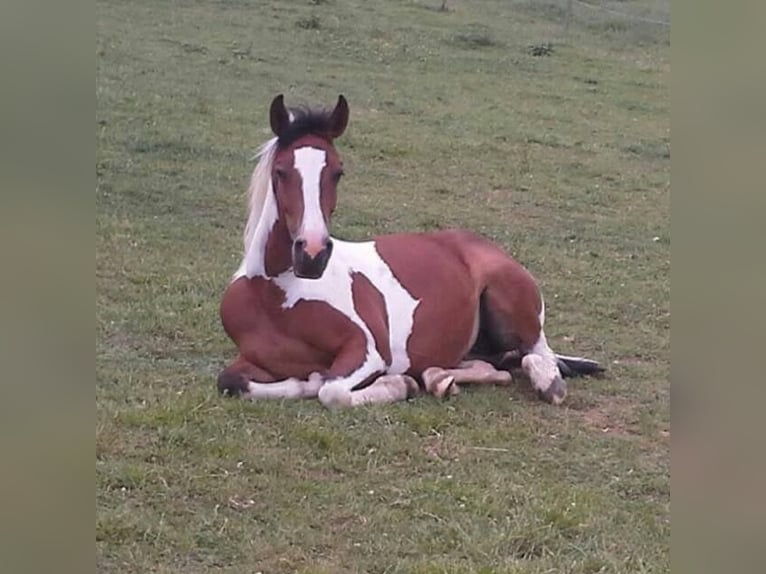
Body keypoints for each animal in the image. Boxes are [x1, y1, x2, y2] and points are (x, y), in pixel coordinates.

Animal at [218, 95, 602, 408]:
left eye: (338, 172)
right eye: (281, 171)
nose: (312, 255)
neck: (273, 294)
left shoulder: (367, 350)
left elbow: (331, 390)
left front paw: (396, 384)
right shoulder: (252, 360)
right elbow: (230, 381)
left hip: (515, 304)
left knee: (537, 354)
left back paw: (546, 381)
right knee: (494, 366)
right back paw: (439, 379)